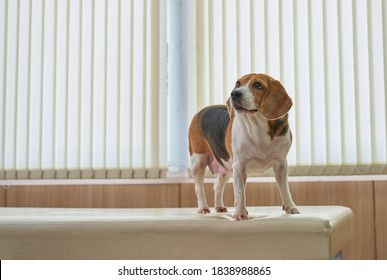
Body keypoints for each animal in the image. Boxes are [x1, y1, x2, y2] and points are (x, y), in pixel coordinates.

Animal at [188, 72, 300, 221]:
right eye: (238, 84)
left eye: (258, 85)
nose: (234, 94)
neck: (257, 126)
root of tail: (201, 111)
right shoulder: (239, 167)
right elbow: (240, 193)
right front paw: (240, 213)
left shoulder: (281, 164)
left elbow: (285, 189)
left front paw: (290, 207)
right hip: (198, 161)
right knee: (198, 187)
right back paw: (203, 208)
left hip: (226, 170)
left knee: (217, 186)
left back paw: (219, 206)